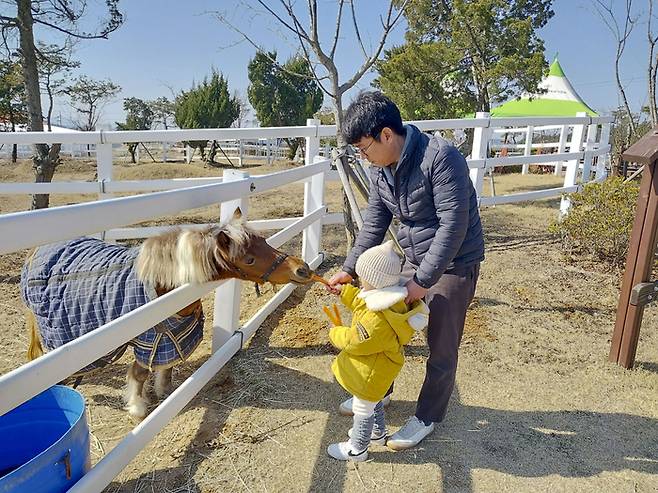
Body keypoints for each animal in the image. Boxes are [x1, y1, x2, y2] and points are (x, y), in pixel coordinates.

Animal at [21, 206, 314, 418]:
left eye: (264, 240)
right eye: (249, 259)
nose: (302, 269)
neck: (162, 286)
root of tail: (37, 250)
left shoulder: (169, 339)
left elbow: (166, 366)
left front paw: (164, 391)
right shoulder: (147, 340)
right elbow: (139, 374)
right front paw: (138, 408)